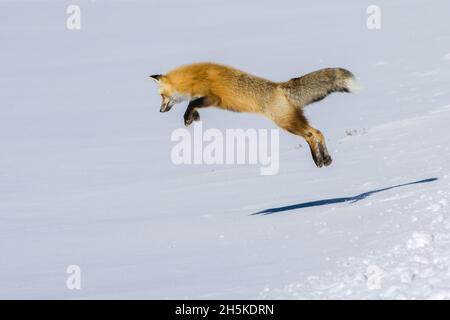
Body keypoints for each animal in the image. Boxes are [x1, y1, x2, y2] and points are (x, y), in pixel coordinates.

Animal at [151, 62, 358, 168]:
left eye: (162, 96)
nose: (160, 111)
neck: (194, 77)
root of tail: (280, 86)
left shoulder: (214, 98)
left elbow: (192, 103)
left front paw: (188, 117)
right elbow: (192, 104)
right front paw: (193, 117)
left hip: (287, 124)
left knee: (312, 134)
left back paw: (319, 159)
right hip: (293, 122)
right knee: (318, 132)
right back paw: (325, 158)